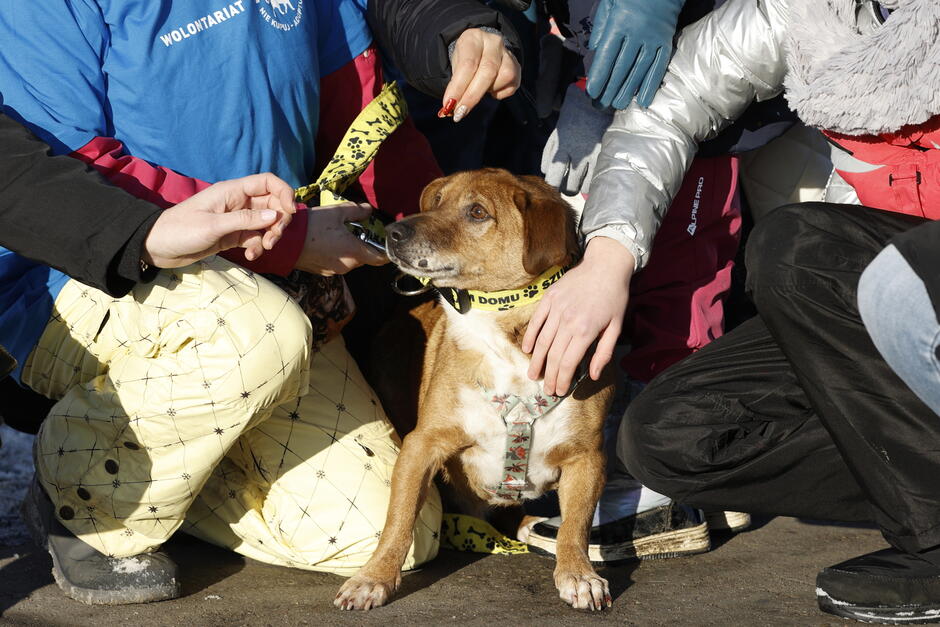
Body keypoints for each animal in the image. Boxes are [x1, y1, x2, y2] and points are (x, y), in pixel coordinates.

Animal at [334, 169, 612, 612]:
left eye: (478, 212)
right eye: (436, 201)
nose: (393, 232)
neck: (507, 330)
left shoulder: (587, 457)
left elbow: (576, 526)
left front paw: (578, 574)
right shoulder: (421, 445)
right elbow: (398, 521)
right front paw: (373, 579)